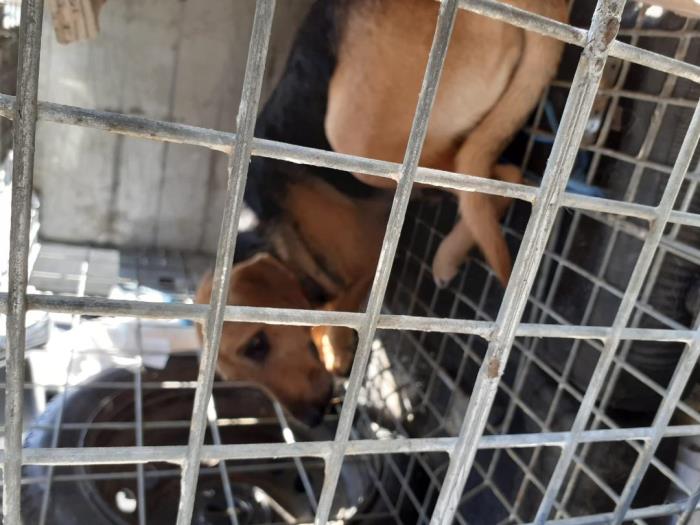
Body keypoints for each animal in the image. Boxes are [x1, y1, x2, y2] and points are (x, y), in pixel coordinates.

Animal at [196, 0, 567, 426]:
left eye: (256, 344)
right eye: (235, 376)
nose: (313, 419)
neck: (272, 227)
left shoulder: (367, 265)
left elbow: (335, 310)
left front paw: (336, 346)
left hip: (359, 136)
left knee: (495, 175)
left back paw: (449, 250)